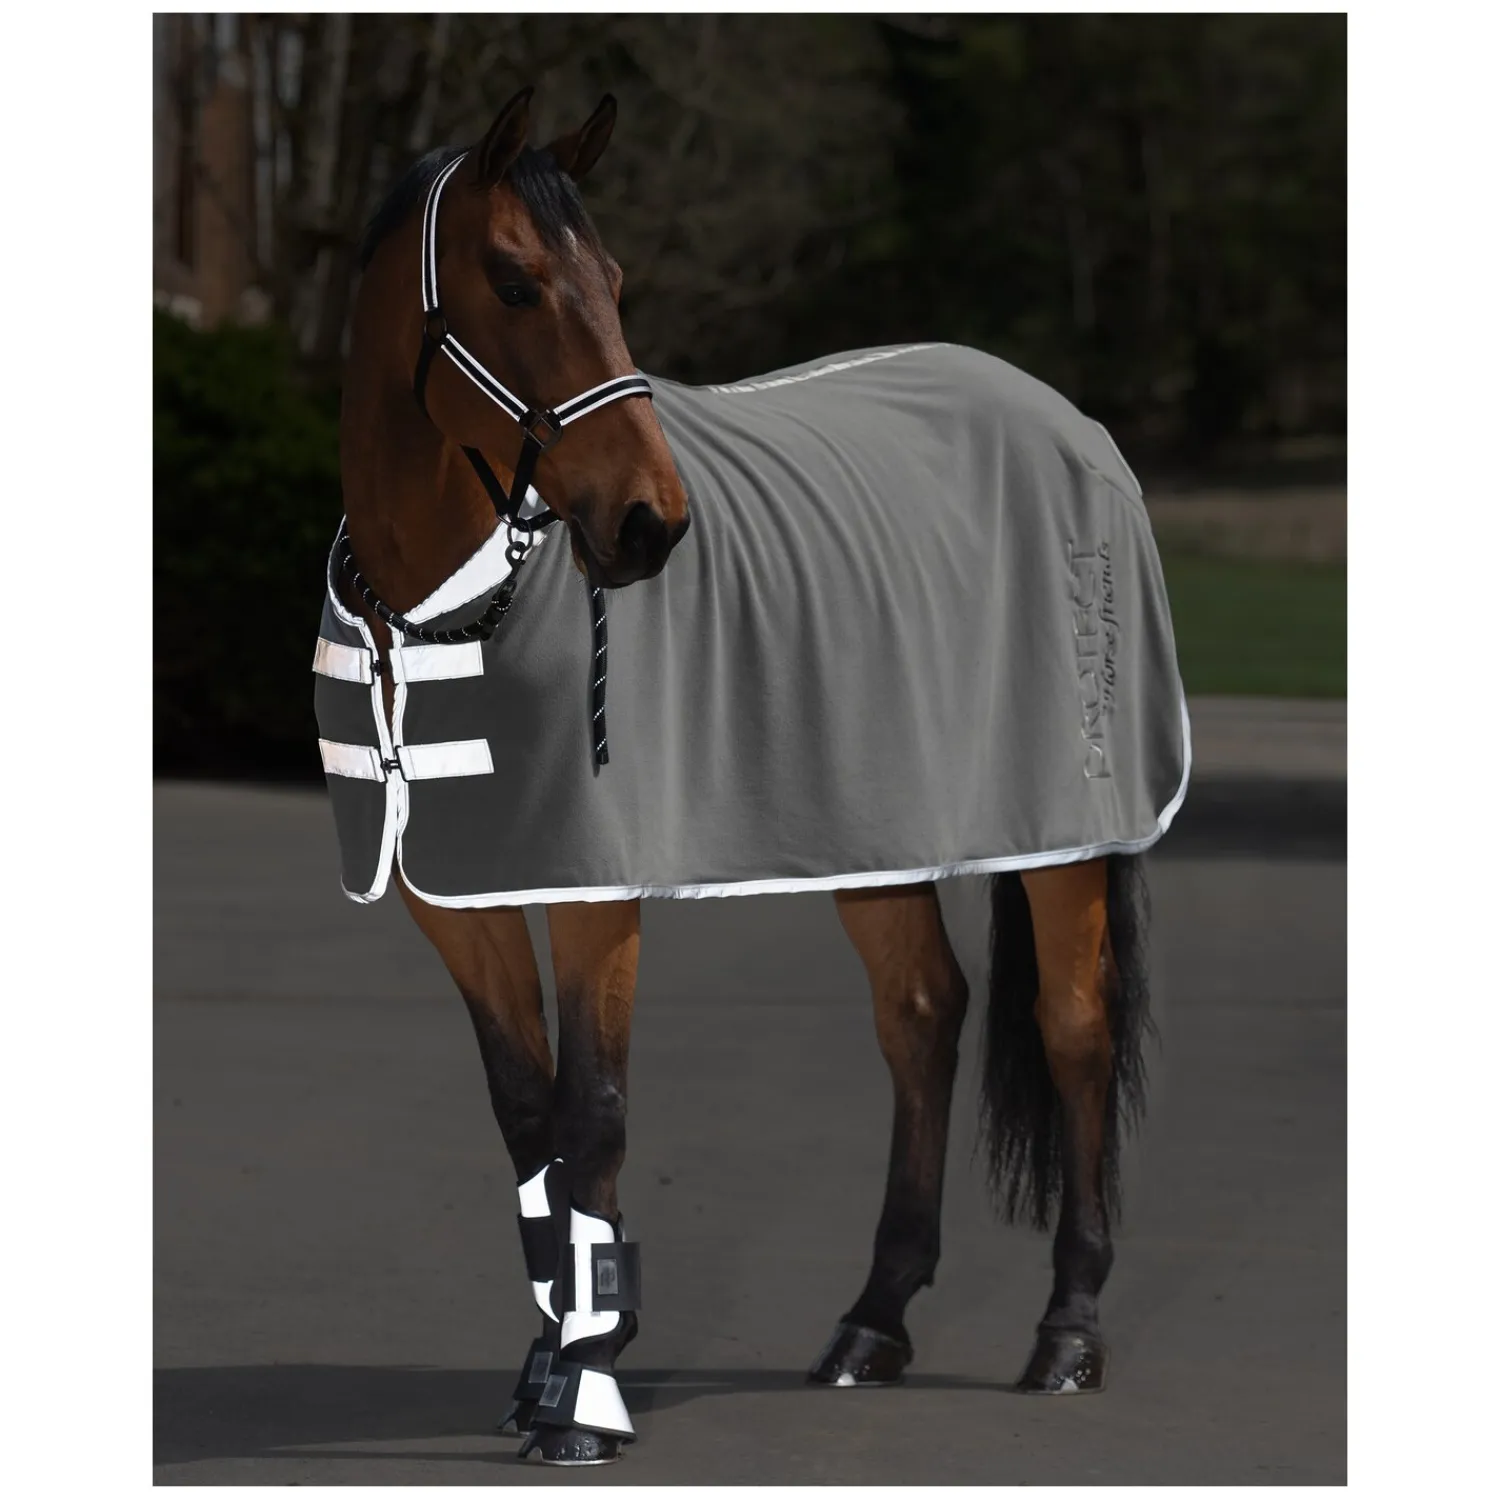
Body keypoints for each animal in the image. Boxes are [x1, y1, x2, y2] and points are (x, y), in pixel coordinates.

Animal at [319, 88, 1187, 1466]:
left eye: (616, 282)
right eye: (512, 281)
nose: (648, 525)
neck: (442, 611)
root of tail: (1066, 419)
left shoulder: (595, 897)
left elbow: (594, 1115)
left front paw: (585, 1401)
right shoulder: (455, 906)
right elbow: (528, 1123)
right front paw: (547, 1367)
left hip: (1064, 837)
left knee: (1074, 1027)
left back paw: (1067, 1335)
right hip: (874, 829)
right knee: (923, 1013)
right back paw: (872, 1322)